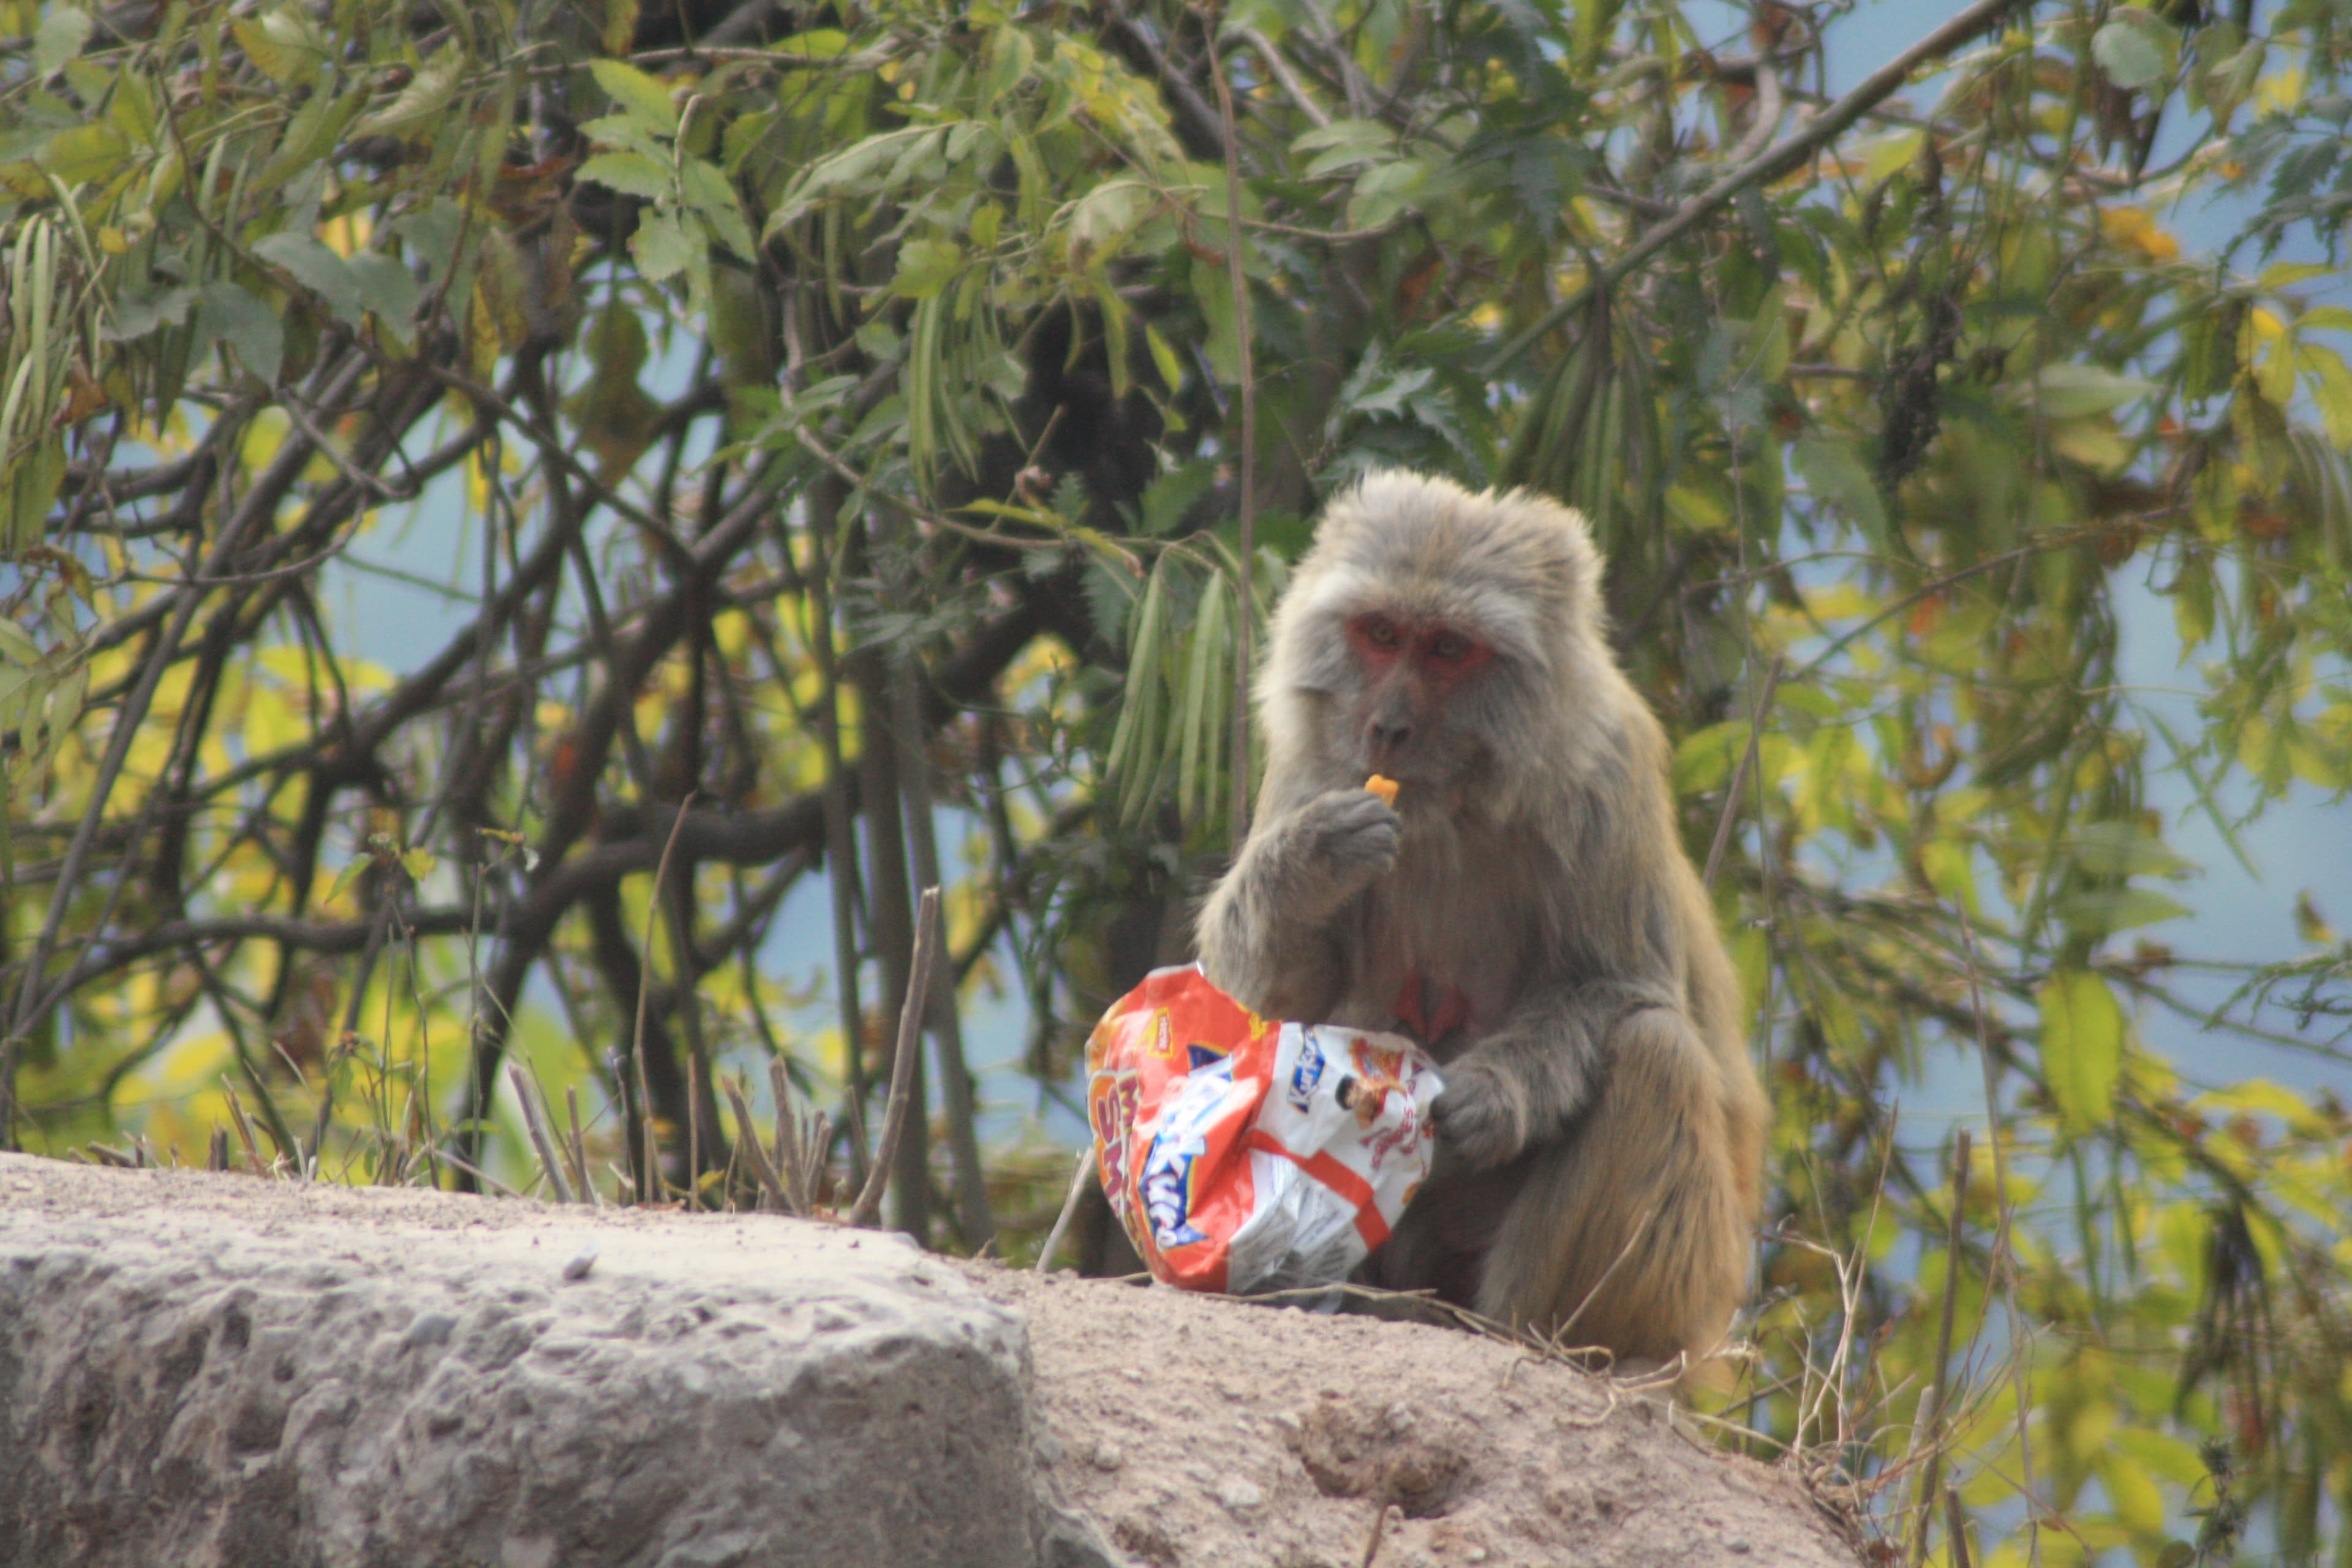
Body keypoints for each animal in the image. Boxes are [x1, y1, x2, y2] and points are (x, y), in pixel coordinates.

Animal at [1194, 470, 1768, 1373]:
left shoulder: (1604, 777)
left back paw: (1512, 1335)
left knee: (1655, 1053)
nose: (1388, 726)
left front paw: (1493, 1099)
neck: (1457, 800)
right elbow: (1264, 1016)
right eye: (1382, 633)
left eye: (1446, 650)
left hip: (1686, 1290)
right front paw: (1307, 866)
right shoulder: (1312, 761)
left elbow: (1624, 986)